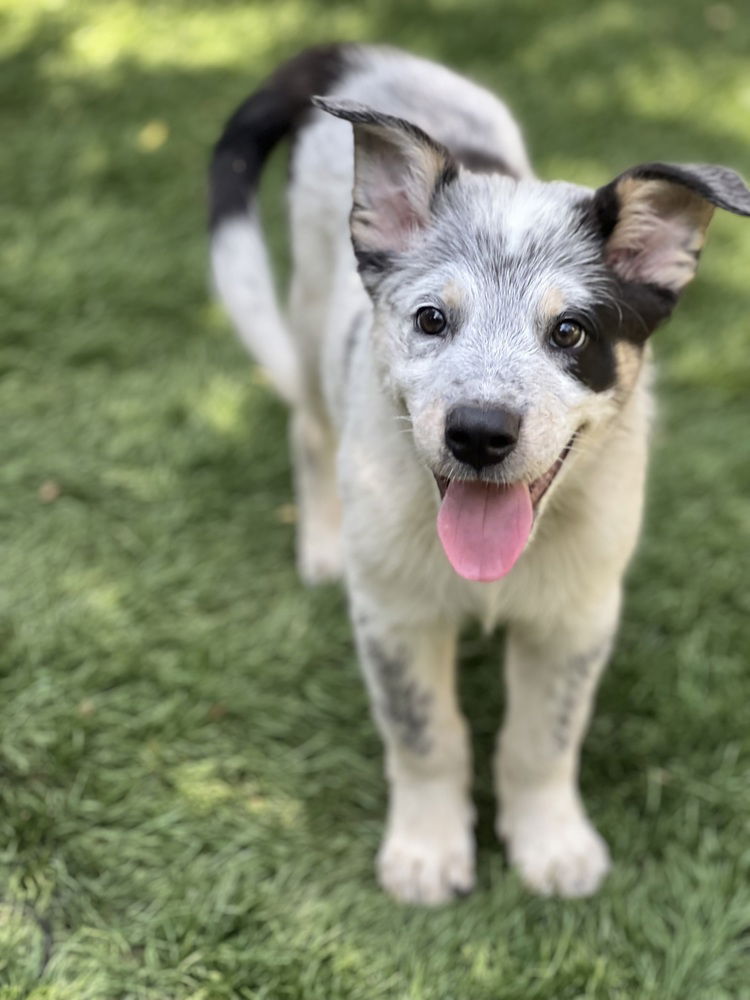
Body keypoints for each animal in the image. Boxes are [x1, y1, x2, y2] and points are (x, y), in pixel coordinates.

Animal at [207, 45, 750, 908]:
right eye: (432, 320)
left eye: (571, 333)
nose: (479, 433)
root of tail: (359, 53)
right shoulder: (394, 614)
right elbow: (427, 735)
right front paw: (427, 852)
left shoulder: (577, 617)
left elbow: (542, 740)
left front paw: (553, 846)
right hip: (309, 318)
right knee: (307, 424)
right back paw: (321, 546)